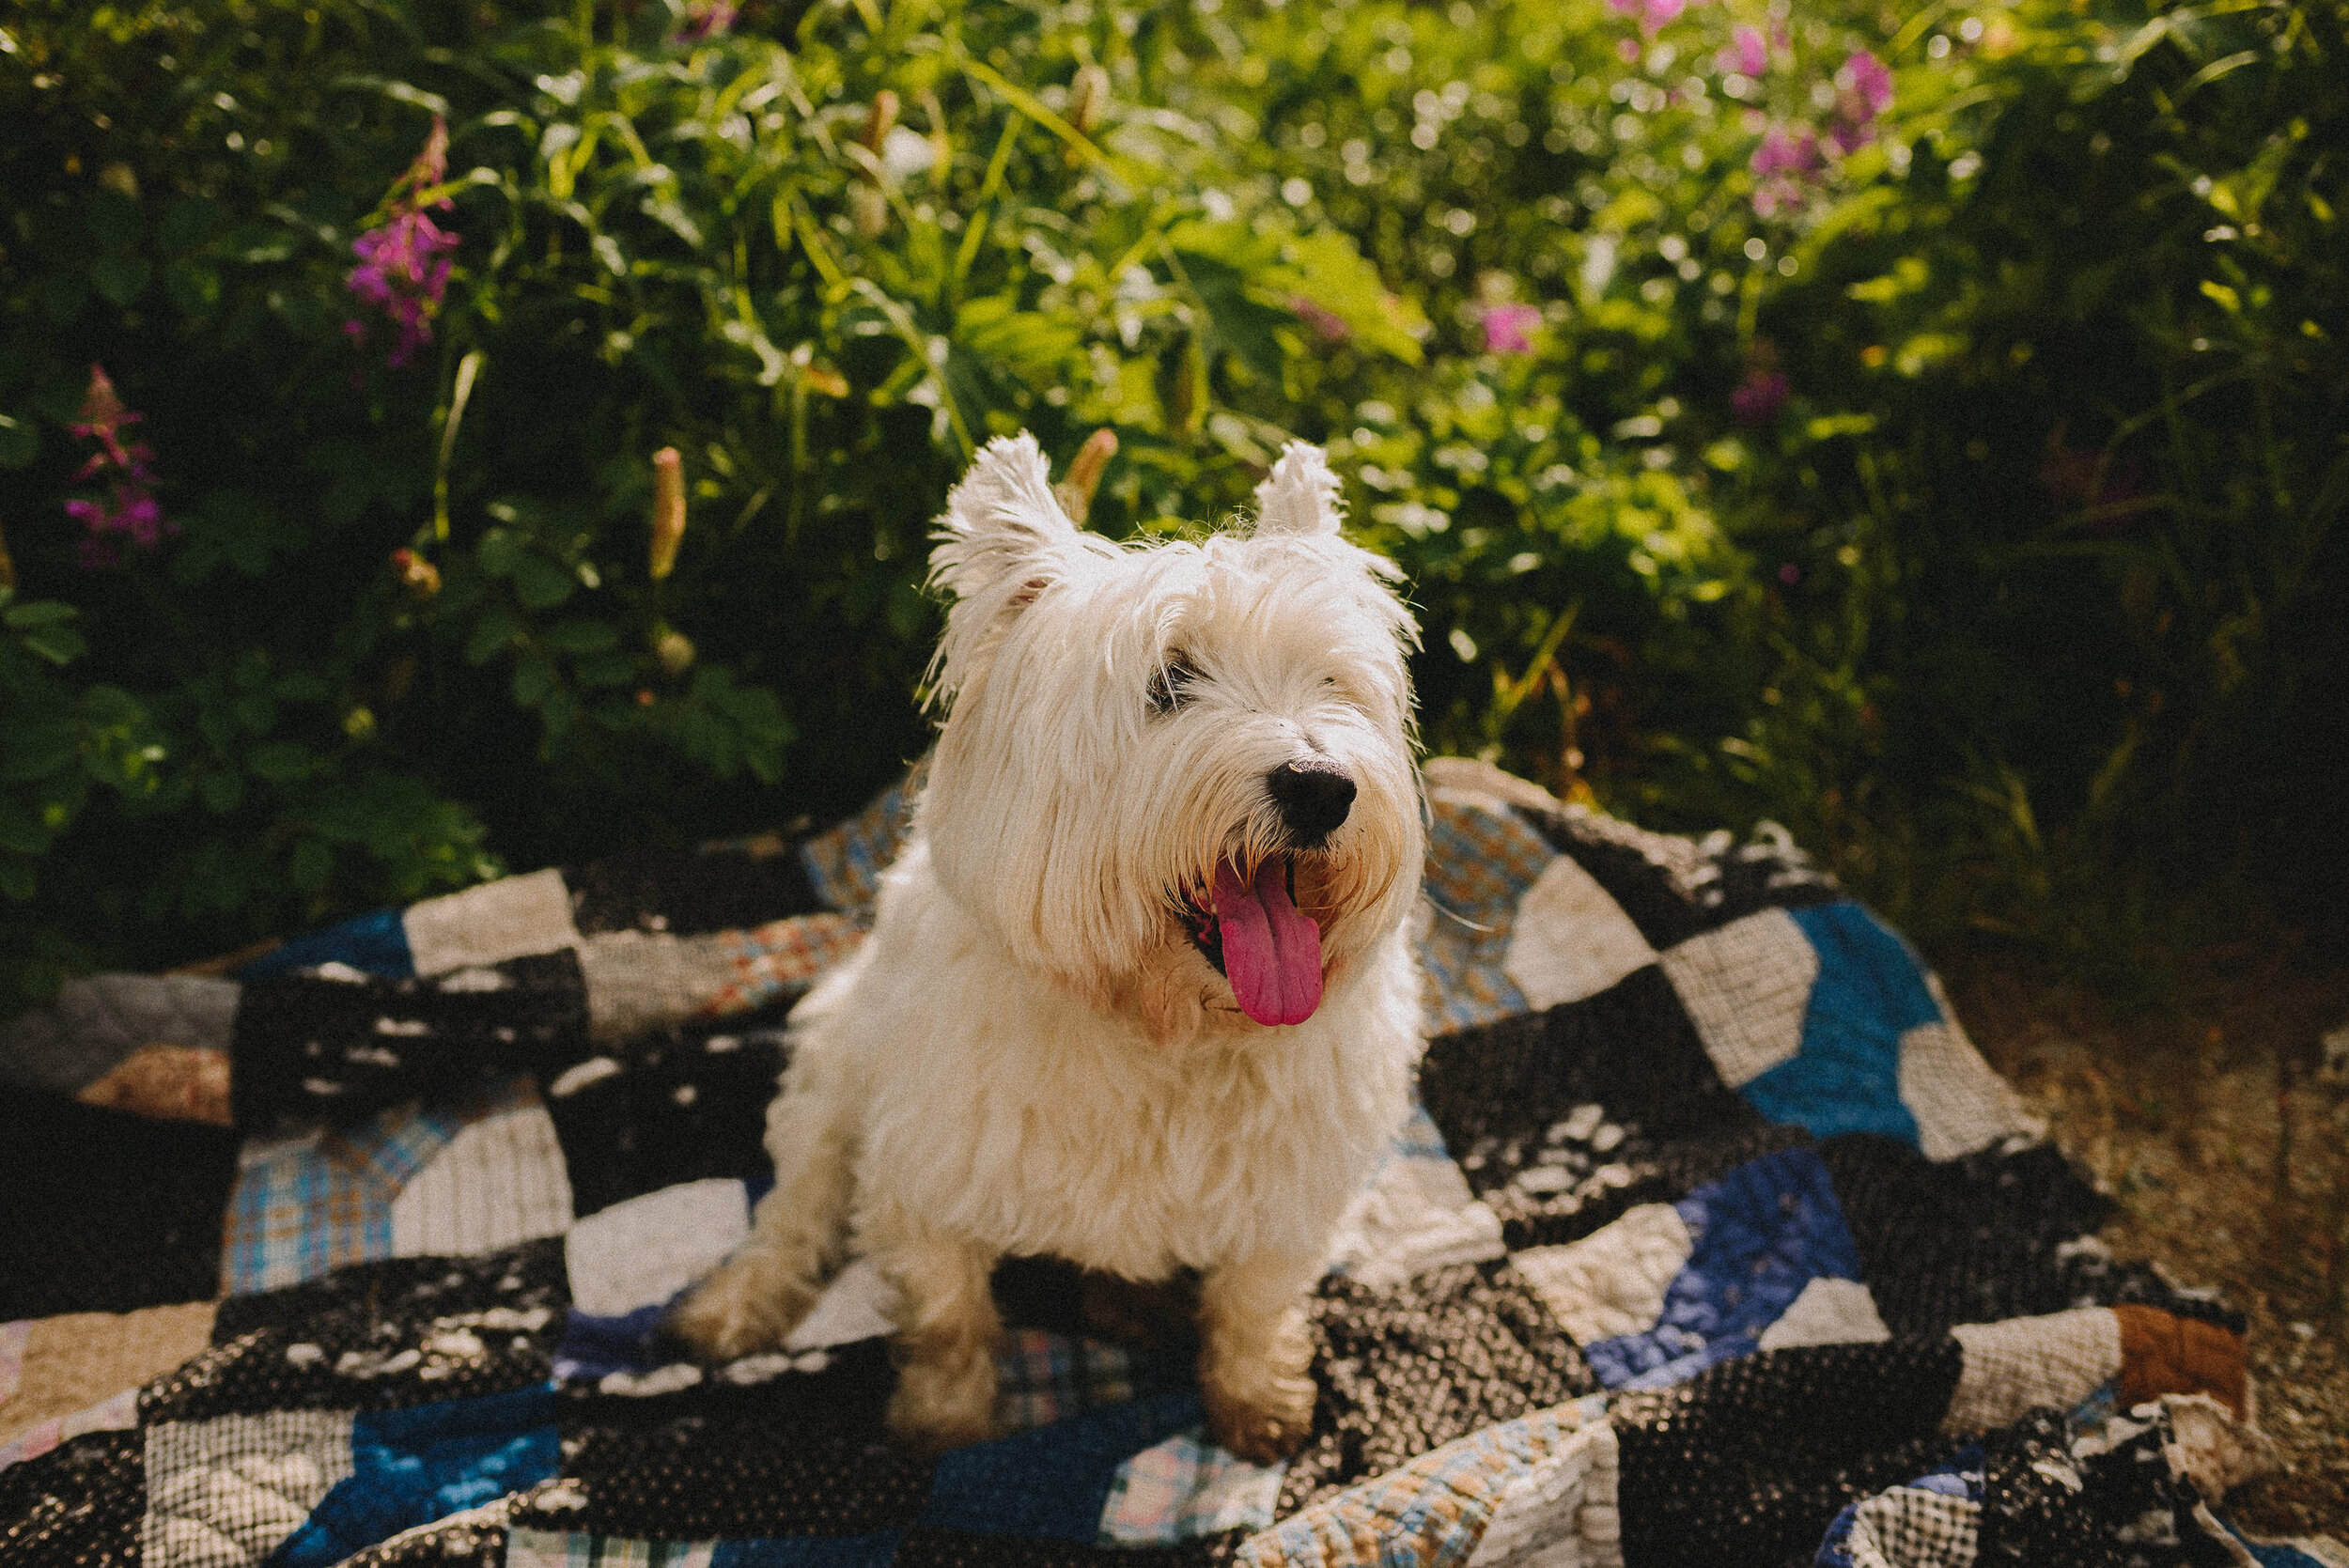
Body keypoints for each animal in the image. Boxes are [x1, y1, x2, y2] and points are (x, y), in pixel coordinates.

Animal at [672, 431, 1419, 1455]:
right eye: (1169, 681)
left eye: (1332, 681)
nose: (1320, 787)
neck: (1162, 1025)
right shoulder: (925, 1172)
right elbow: (948, 1314)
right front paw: (944, 1424)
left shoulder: (1287, 1196)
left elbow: (1253, 1304)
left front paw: (1257, 1399)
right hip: (831, 1068)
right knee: (797, 1203)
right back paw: (732, 1307)